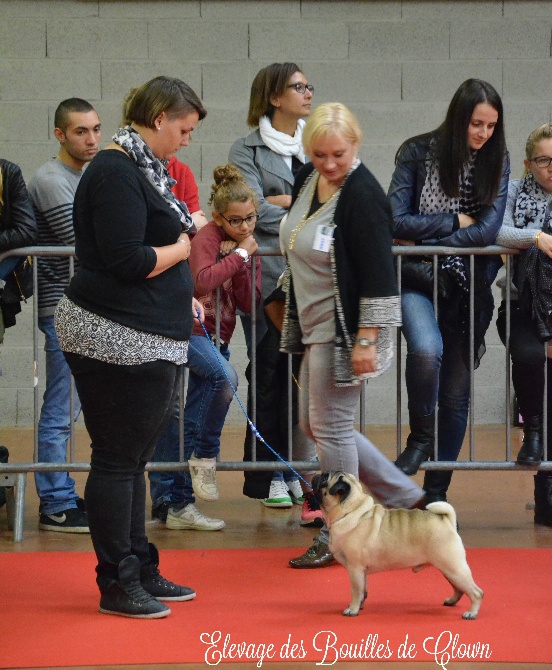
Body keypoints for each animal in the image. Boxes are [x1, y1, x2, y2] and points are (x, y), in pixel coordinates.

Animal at [310, 472, 484, 620]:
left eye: (324, 478)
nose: (317, 475)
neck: (351, 510)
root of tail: (446, 520)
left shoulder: (355, 569)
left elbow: (356, 591)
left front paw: (352, 609)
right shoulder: (362, 572)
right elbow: (363, 591)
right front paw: (360, 606)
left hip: (453, 567)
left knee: (476, 592)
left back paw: (471, 613)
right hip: (449, 569)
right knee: (460, 589)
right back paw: (451, 601)